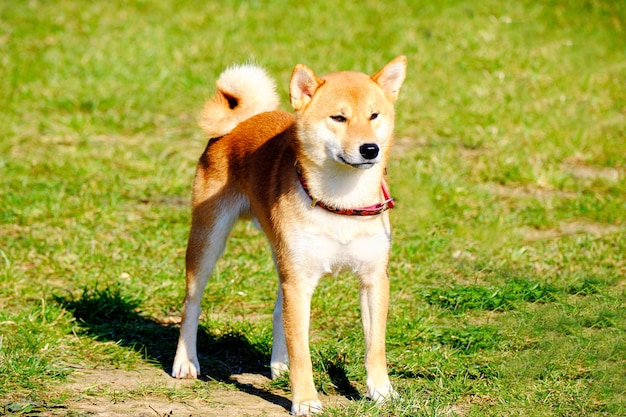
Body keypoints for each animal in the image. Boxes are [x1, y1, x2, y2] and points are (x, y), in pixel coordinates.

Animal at [172, 57, 404, 414]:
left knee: (278, 312)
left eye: (374, 115)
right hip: (208, 242)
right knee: (191, 305)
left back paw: (278, 365)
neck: (342, 202)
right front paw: (306, 400)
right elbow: (302, 352)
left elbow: (374, 345)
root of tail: (242, 120)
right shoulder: (299, 280)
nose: (370, 149)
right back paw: (186, 363)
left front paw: (381, 392)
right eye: (339, 117)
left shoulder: (373, 278)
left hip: (282, 256)